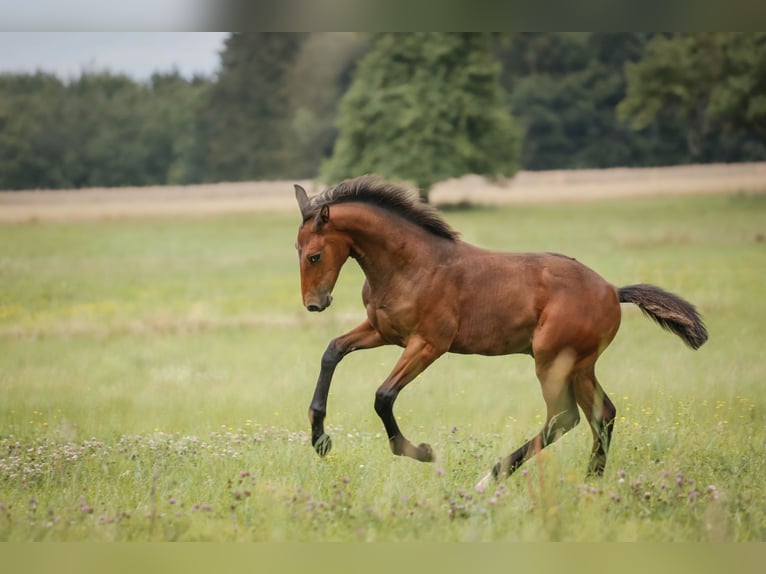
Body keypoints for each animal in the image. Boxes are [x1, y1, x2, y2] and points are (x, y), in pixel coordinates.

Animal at [292, 174, 708, 486]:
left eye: (314, 255)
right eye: (296, 251)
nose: (314, 303)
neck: (409, 265)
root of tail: (612, 291)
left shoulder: (428, 343)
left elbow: (383, 396)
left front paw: (421, 452)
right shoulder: (383, 332)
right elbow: (332, 351)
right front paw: (321, 440)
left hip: (551, 361)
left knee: (564, 418)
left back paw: (491, 476)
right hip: (580, 365)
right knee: (601, 414)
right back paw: (593, 481)